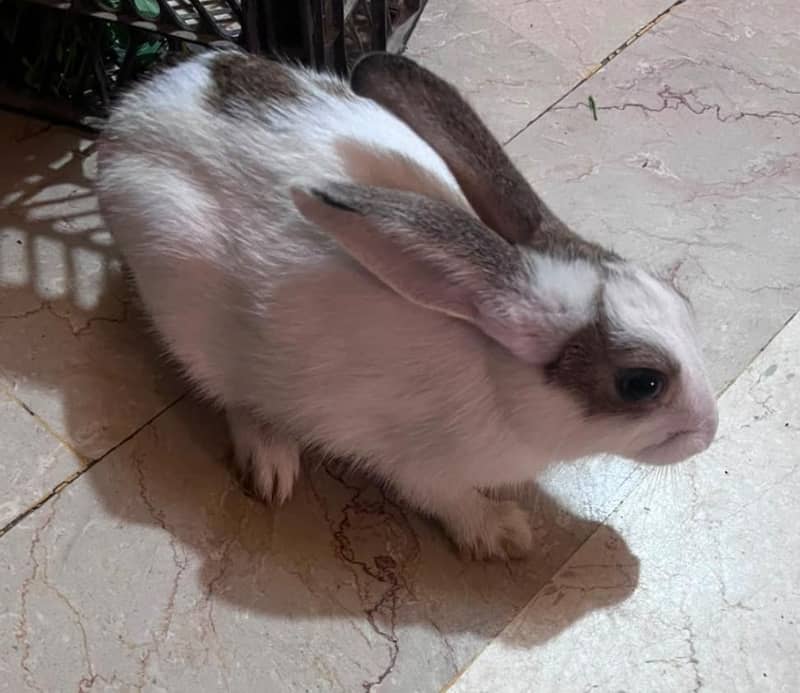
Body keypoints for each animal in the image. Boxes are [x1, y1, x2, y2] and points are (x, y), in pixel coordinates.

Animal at [95, 49, 718, 560]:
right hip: (187, 305)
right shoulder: (421, 466)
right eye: (642, 384)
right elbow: (448, 499)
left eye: (683, 301)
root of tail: (127, 118)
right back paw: (272, 465)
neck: (498, 377)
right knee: (233, 398)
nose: (710, 432)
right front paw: (506, 535)